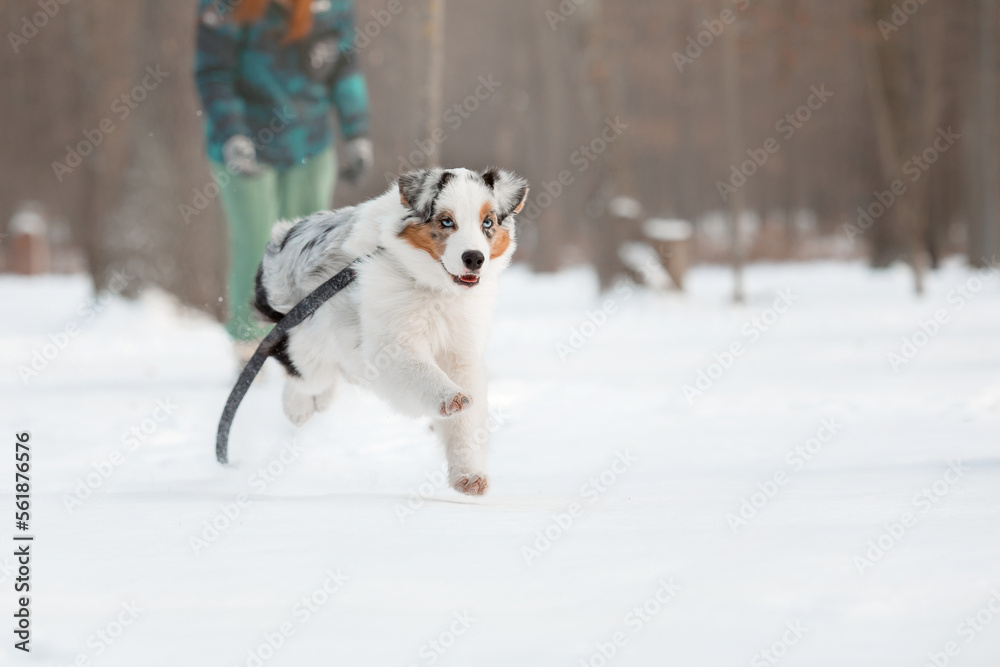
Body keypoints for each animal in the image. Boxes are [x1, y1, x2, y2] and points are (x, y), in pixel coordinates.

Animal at [254, 167, 528, 496]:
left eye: (487, 222)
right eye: (446, 221)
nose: (474, 258)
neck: (435, 289)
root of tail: (283, 234)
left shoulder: (462, 351)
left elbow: (466, 423)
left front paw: (468, 474)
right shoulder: (390, 343)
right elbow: (420, 371)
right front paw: (449, 397)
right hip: (303, 336)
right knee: (304, 373)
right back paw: (298, 408)